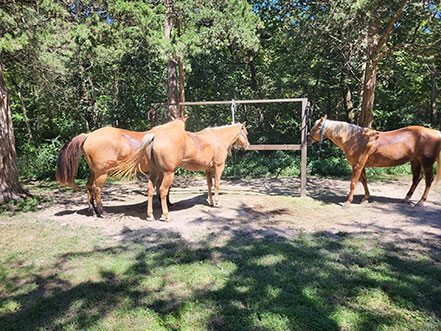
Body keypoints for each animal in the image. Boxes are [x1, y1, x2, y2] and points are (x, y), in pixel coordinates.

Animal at [55, 119, 185, 218]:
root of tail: (88, 135)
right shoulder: (166, 171)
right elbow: (165, 188)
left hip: (94, 172)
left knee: (89, 186)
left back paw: (93, 211)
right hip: (102, 173)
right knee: (96, 189)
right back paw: (102, 212)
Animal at [108, 123, 249, 222]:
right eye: (245, 132)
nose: (247, 145)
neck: (217, 138)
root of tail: (154, 137)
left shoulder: (208, 169)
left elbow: (209, 185)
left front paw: (210, 202)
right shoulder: (219, 166)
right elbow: (217, 184)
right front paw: (217, 203)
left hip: (155, 173)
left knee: (150, 190)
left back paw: (150, 216)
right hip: (168, 173)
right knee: (163, 191)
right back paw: (166, 216)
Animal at [306, 115, 440, 206]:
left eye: (317, 127)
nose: (307, 138)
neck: (355, 139)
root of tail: (436, 132)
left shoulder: (357, 165)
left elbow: (353, 183)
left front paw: (347, 202)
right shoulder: (361, 166)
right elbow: (364, 181)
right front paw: (365, 198)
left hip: (427, 163)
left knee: (428, 180)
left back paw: (421, 201)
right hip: (415, 161)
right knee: (417, 178)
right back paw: (406, 198)